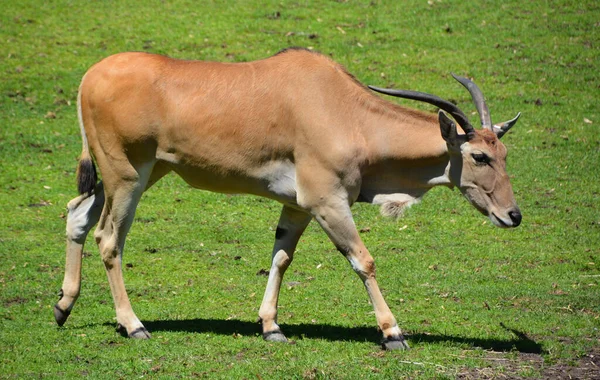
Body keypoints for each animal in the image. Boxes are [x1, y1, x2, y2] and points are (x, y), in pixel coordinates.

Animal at [55, 48, 520, 350]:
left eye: (503, 153)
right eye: (478, 156)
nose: (512, 215)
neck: (346, 112)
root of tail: (90, 77)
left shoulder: (297, 206)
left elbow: (280, 257)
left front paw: (271, 327)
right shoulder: (328, 204)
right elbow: (363, 261)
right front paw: (393, 333)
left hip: (137, 175)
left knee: (77, 215)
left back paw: (63, 306)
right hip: (127, 177)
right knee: (108, 239)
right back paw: (133, 325)